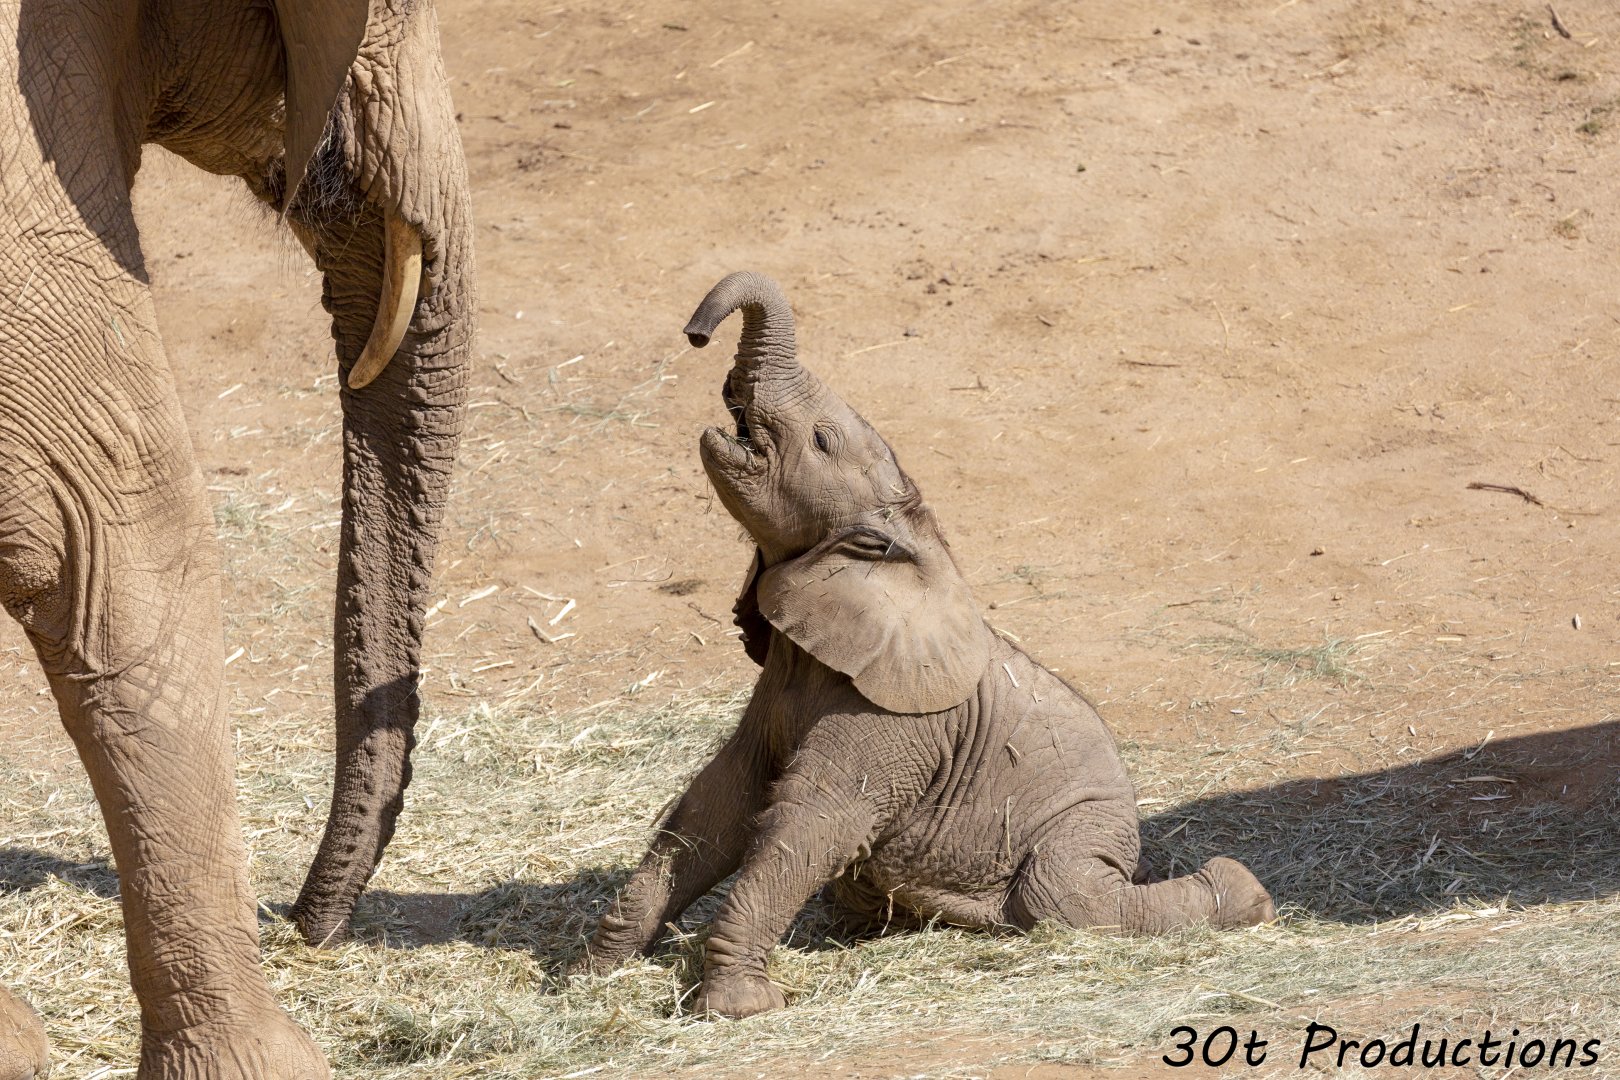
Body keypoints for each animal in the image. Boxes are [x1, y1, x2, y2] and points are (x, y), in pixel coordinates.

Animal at [577, 273, 1275, 1018]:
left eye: (821, 440)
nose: (696, 333)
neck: (907, 538)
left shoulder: (890, 724)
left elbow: (808, 825)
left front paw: (737, 1009)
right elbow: (717, 805)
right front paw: (589, 975)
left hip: (1078, 826)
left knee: (1067, 899)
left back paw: (1246, 894)